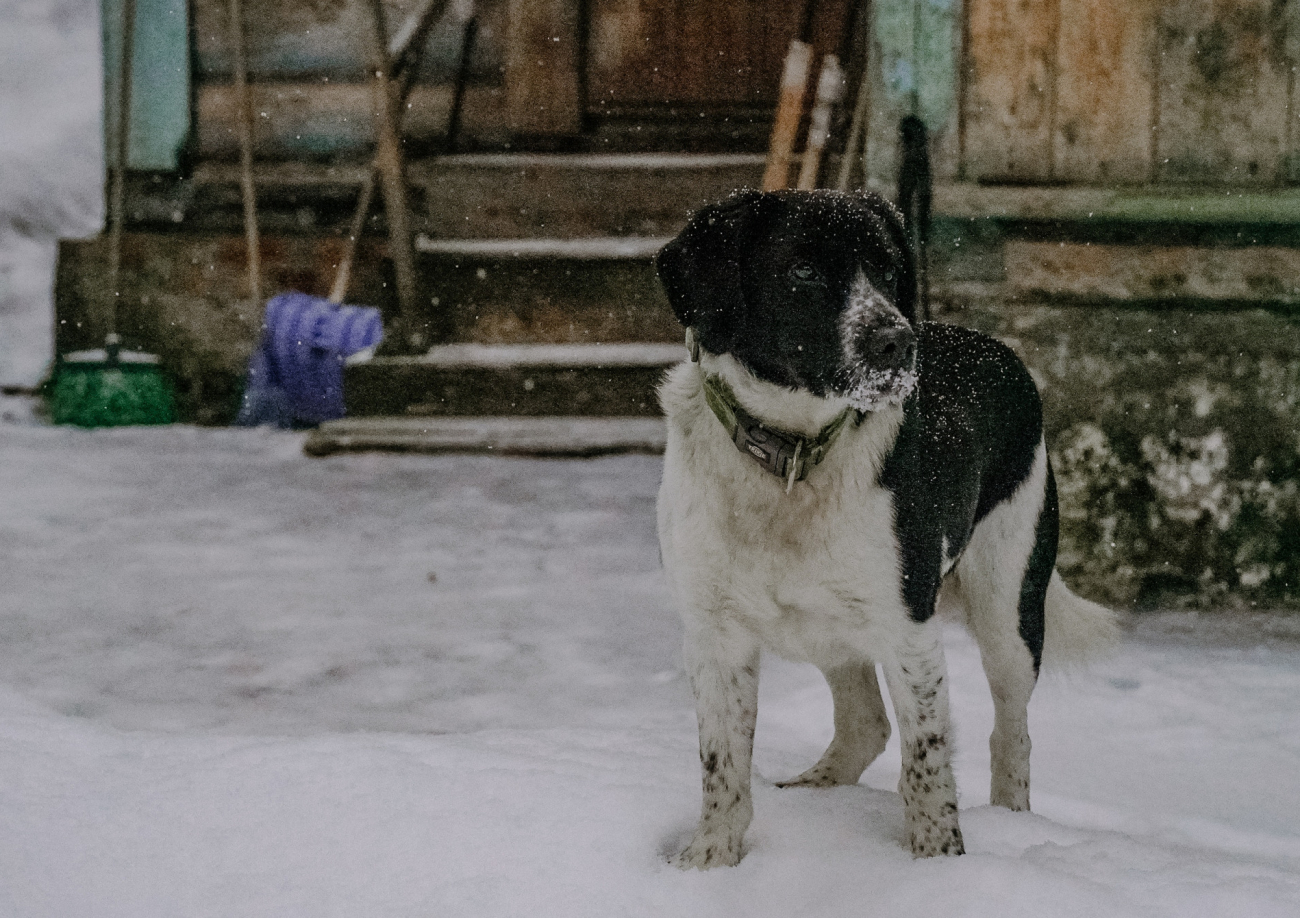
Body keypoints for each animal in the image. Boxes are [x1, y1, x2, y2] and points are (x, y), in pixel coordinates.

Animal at [660, 189, 1118, 863]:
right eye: (803, 271)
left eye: (886, 268)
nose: (898, 343)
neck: (792, 461)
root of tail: (1002, 352)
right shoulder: (713, 634)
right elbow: (722, 766)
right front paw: (707, 863)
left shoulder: (909, 631)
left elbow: (926, 763)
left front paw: (937, 864)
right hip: (831, 629)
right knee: (865, 723)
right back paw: (816, 790)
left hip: (1008, 611)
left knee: (1011, 733)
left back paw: (1011, 820)